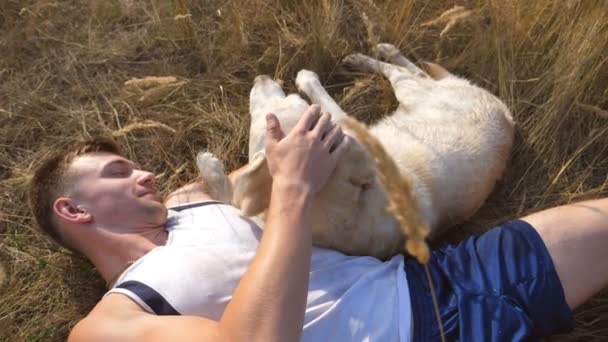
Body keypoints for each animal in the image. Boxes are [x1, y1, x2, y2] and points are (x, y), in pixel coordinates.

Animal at [200, 43, 512, 260]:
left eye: (292, 100)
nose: (262, 77)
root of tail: (508, 117)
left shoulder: (344, 123)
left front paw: (207, 165)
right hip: (416, 93)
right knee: (417, 71)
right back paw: (379, 52)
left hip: (411, 91)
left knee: (402, 72)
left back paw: (373, 56)